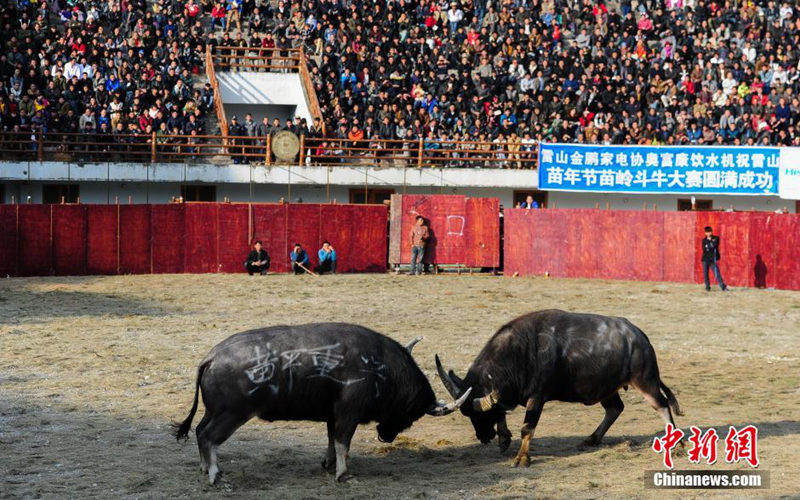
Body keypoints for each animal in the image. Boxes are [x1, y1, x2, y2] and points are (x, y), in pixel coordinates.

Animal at [170, 322, 468, 482]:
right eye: (413, 414)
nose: (386, 436)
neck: (381, 367)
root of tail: (211, 356)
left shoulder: (332, 415)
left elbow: (331, 440)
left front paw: (329, 464)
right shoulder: (348, 414)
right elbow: (343, 442)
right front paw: (343, 474)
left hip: (214, 411)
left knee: (199, 431)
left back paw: (204, 467)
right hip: (230, 415)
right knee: (208, 437)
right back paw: (214, 473)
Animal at [434, 310, 684, 466]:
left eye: (480, 415)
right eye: (468, 415)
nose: (483, 437)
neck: (521, 352)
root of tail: (640, 336)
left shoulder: (537, 397)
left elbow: (527, 428)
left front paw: (522, 459)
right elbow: (504, 410)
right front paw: (504, 438)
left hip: (646, 381)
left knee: (662, 405)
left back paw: (678, 443)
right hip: (607, 388)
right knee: (615, 408)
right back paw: (591, 439)